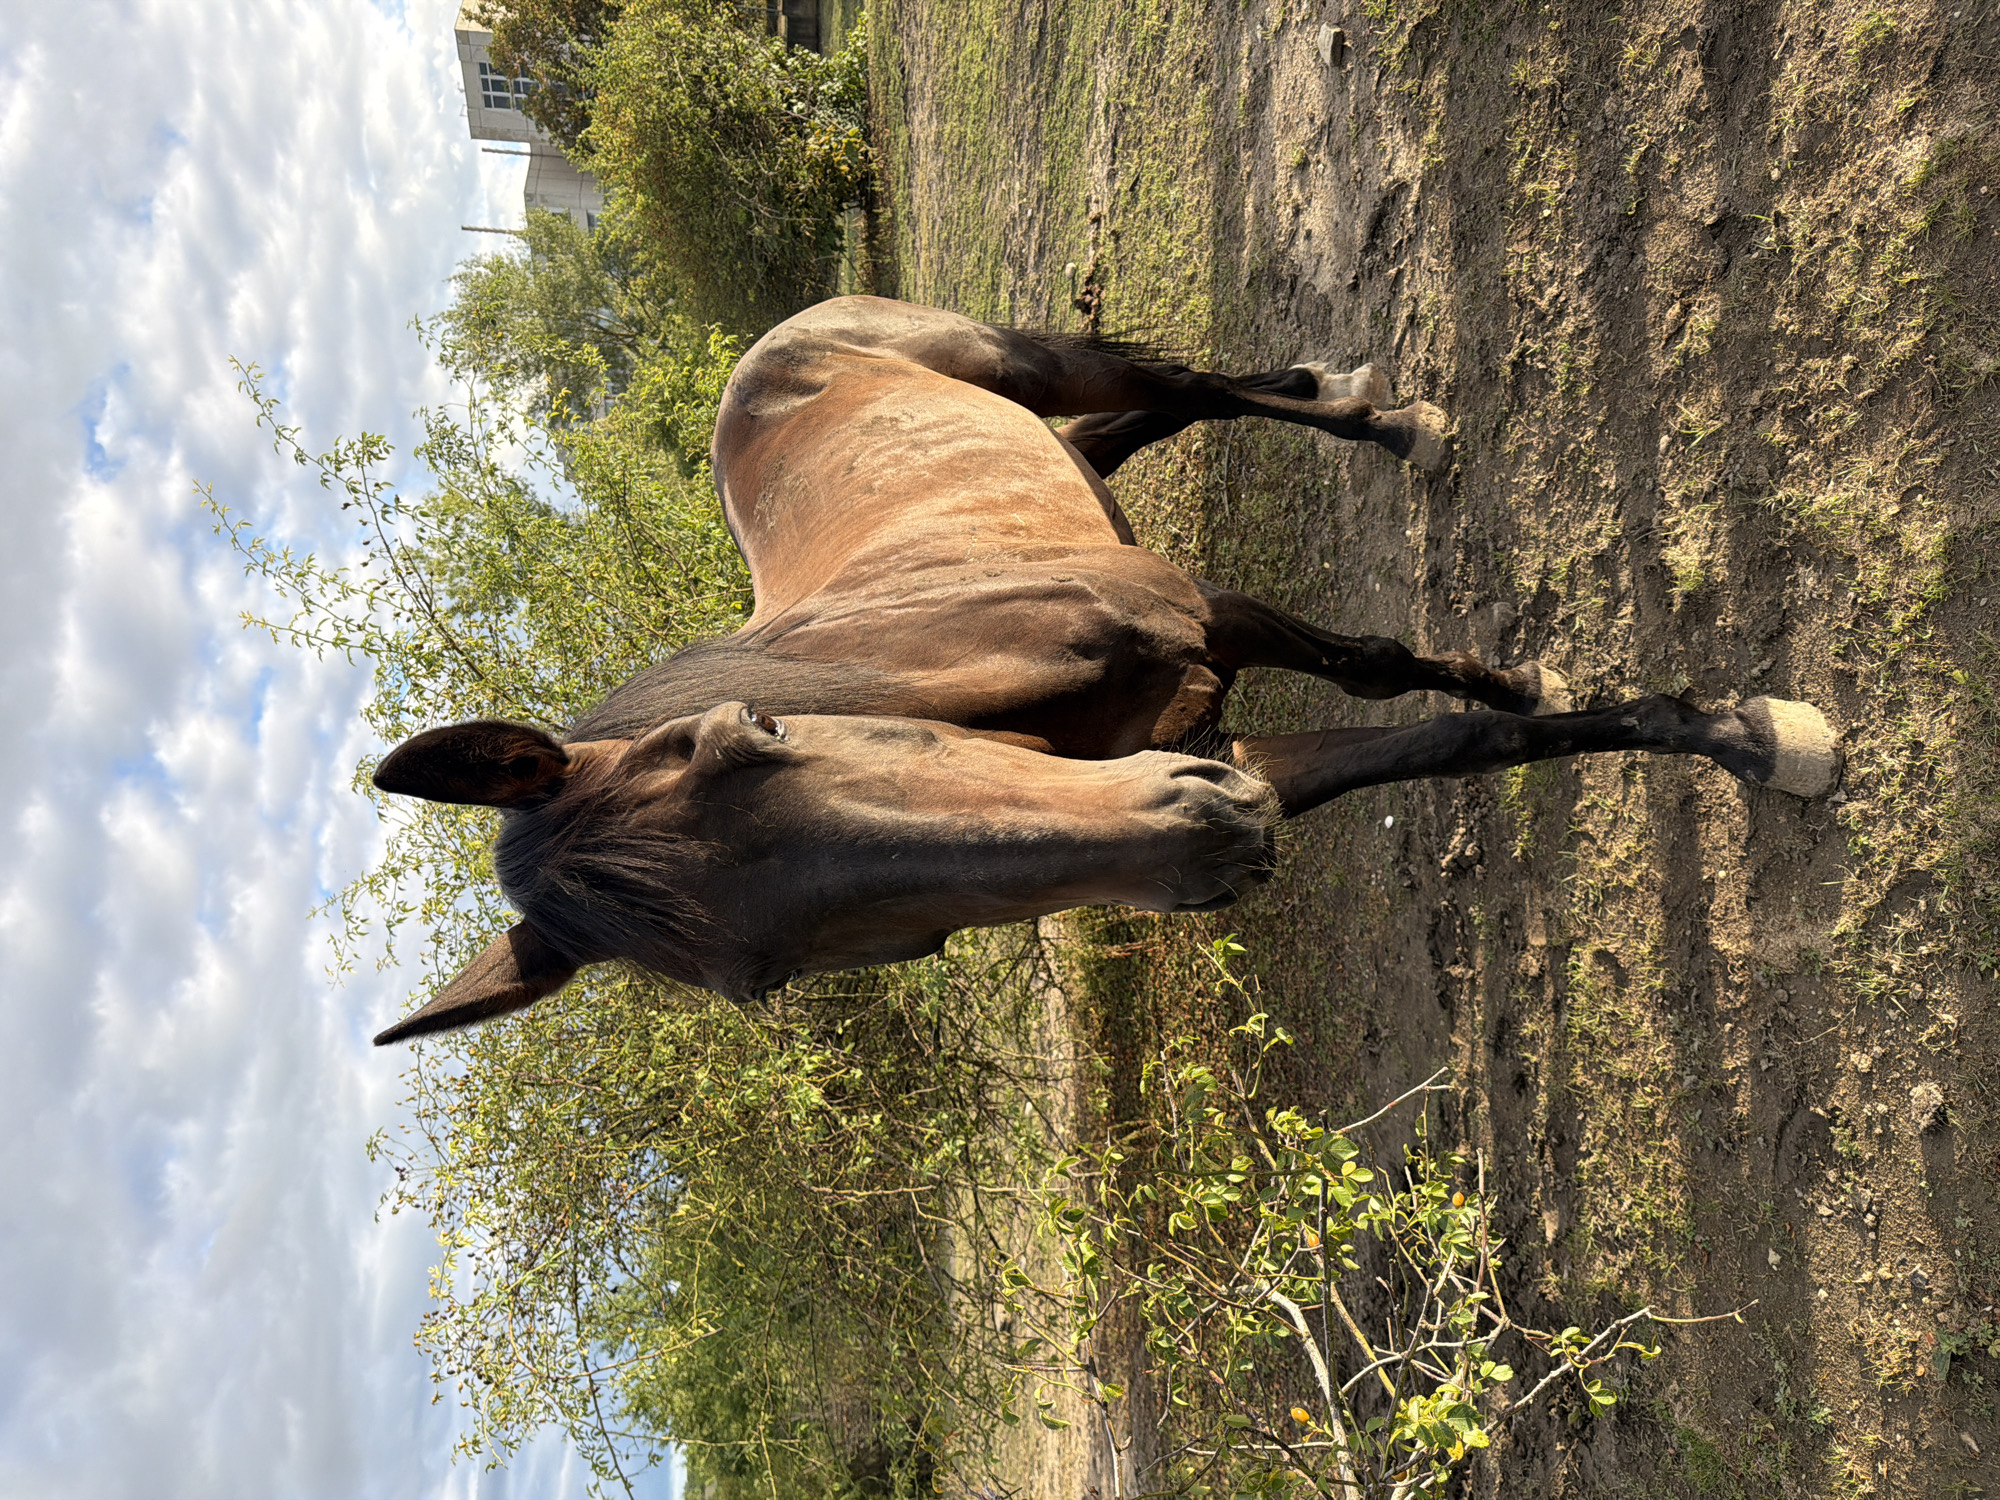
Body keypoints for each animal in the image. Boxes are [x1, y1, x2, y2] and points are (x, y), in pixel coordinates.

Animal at [369, 296, 1839, 1044]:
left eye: (756, 736)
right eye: (763, 980)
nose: (1202, 840)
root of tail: (773, 345)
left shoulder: (1206, 615)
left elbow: (1386, 678)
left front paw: (1746, 730)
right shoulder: (1230, 752)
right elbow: (1440, 747)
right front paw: (1739, 732)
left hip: (1026, 359)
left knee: (1177, 382)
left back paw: (1387, 420)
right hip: (1057, 441)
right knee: (1134, 424)